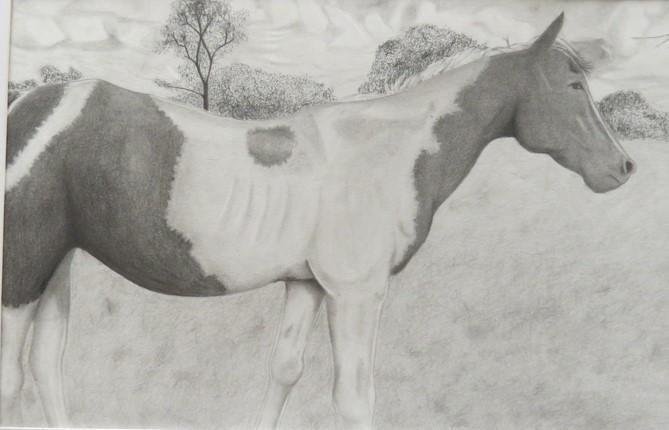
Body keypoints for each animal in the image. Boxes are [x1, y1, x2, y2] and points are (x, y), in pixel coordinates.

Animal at [0, 15, 636, 428]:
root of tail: (29, 107)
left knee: (47, 366)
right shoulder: (356, 294)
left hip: (59, 264)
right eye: (573, 85)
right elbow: (355, 400)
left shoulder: (306, 285)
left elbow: (284, 370)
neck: (387, 151)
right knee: (14, 379)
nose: (624, 167)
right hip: (22, 274)